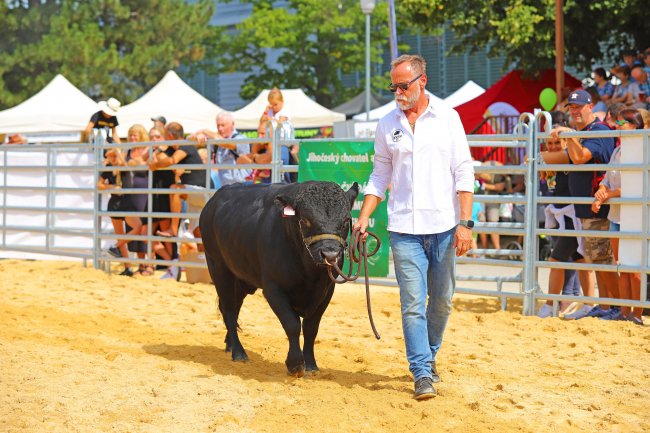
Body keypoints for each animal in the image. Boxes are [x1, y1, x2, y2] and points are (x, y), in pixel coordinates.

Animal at [199, 179, 360, 374]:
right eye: (305, 220)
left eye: (346, 220)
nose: (330, 254)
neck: (310, 273)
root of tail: (214, 200)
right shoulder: (274, 289)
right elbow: (292, 324)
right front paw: (295, 363)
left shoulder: (327, 291)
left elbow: (311, 328)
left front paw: (311, 364)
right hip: (219, 269)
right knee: (229, 310)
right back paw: (238, 352)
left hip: (241, 279)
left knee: (232, 308)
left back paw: (229, 344)